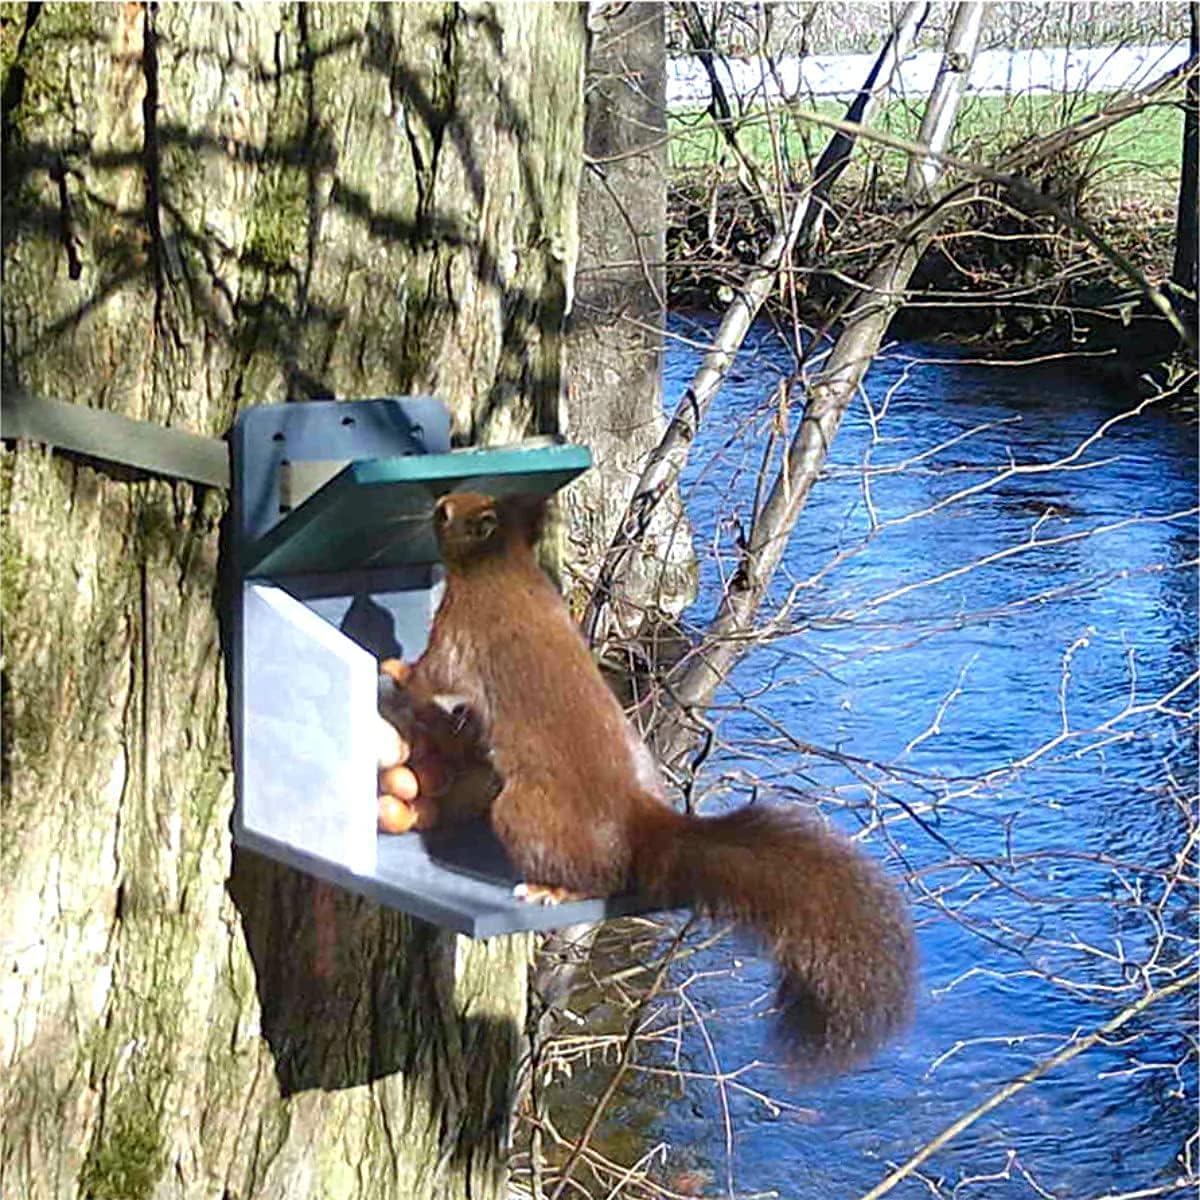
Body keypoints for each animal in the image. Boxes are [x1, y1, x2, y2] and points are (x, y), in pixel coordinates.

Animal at [405, 490, 916, 1075]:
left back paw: (549, 889)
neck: (502, 569)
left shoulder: (458, 634)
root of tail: (642, 826)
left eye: (450, 513)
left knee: (593, 877)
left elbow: (431, 677)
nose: (435, 502)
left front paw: (395, 672)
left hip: (523, 813)